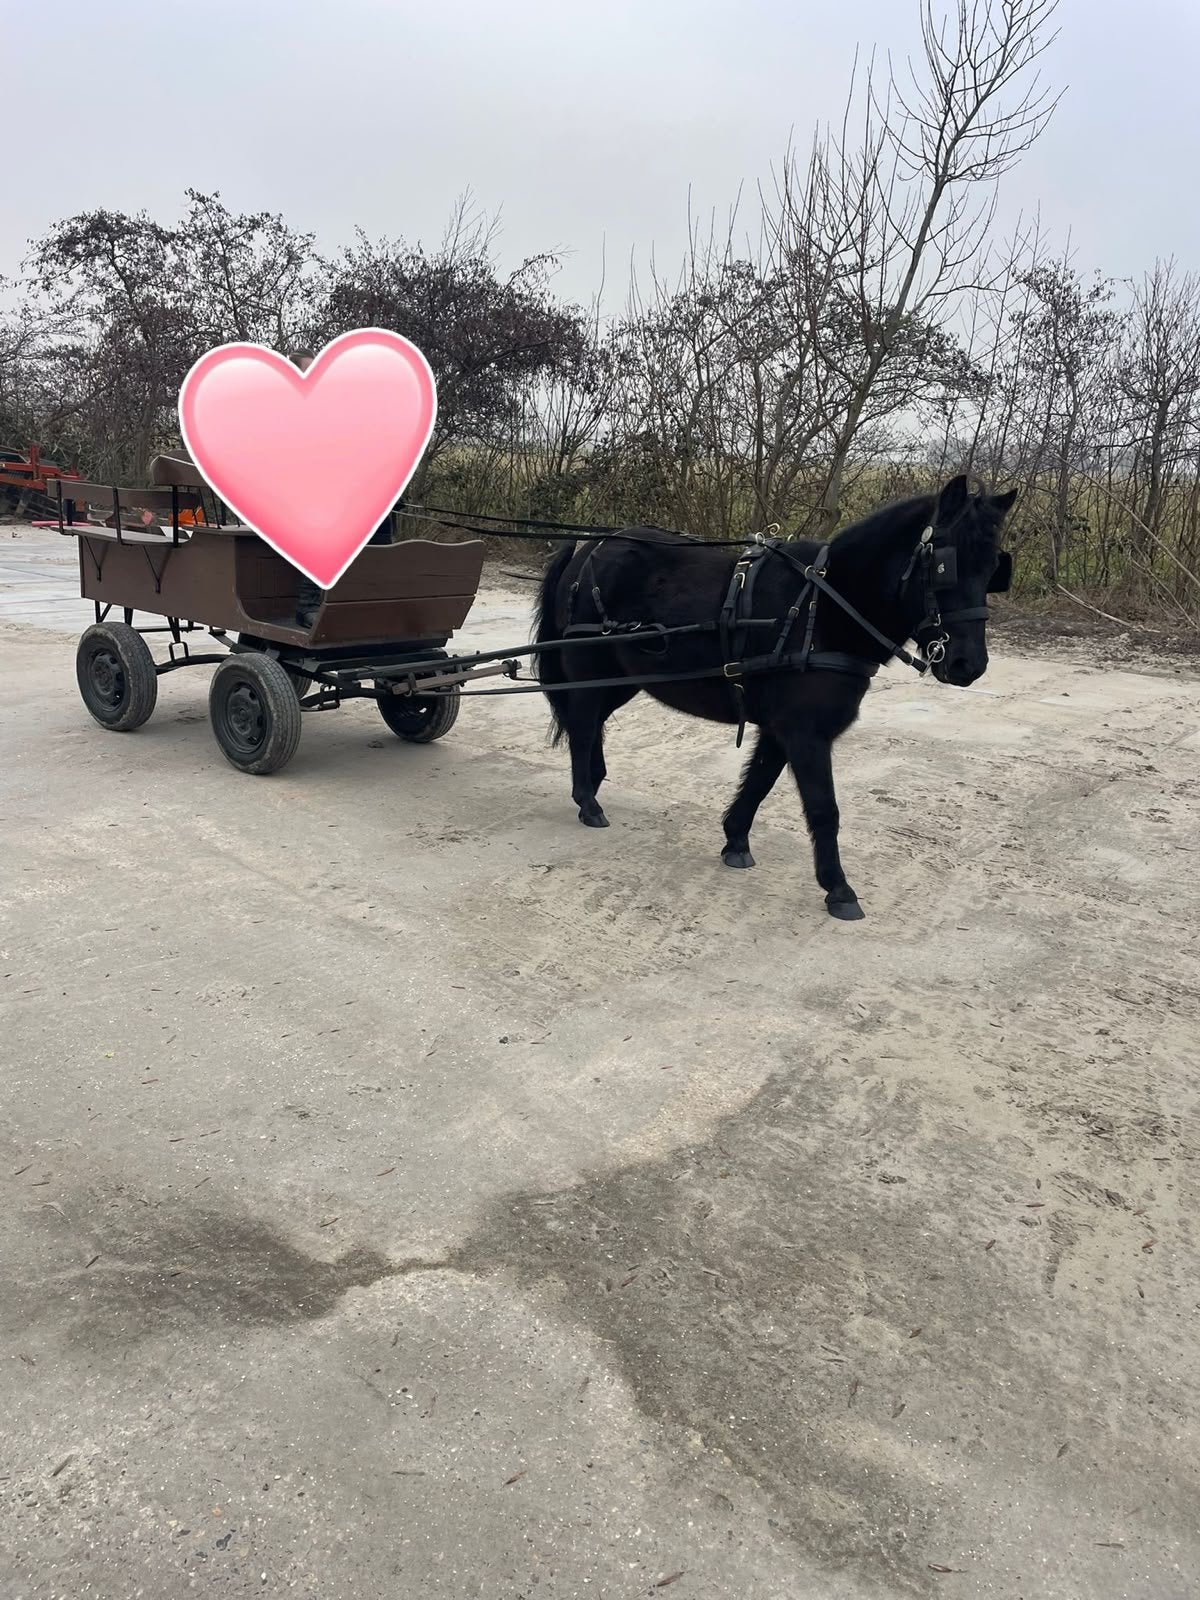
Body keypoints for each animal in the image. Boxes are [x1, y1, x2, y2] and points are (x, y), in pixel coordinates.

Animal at [533, 473, 1017, 921]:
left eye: (994, 568)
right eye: (945, 565)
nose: (968, 665)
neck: (824, 609)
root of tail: (589, 548)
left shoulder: (782, 728)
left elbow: (760, 781)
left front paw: (735, 839)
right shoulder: (806, 731)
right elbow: (823, 809)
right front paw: (839, 888)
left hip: (624, 677)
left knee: (591, 723)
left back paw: (593, 782)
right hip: (591, 668)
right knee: (582, 726)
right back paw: (588, 800)